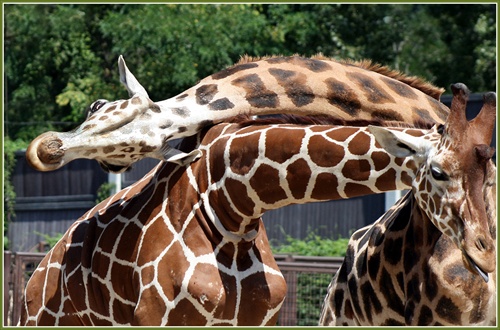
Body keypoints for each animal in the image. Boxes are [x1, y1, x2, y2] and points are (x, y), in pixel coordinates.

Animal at [20, 114, 442, 326]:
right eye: (439, 172)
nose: (47, 147)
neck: (233, 210)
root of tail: (35, 275)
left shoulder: (256, 319)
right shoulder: (156, 316)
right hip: (45, 320)